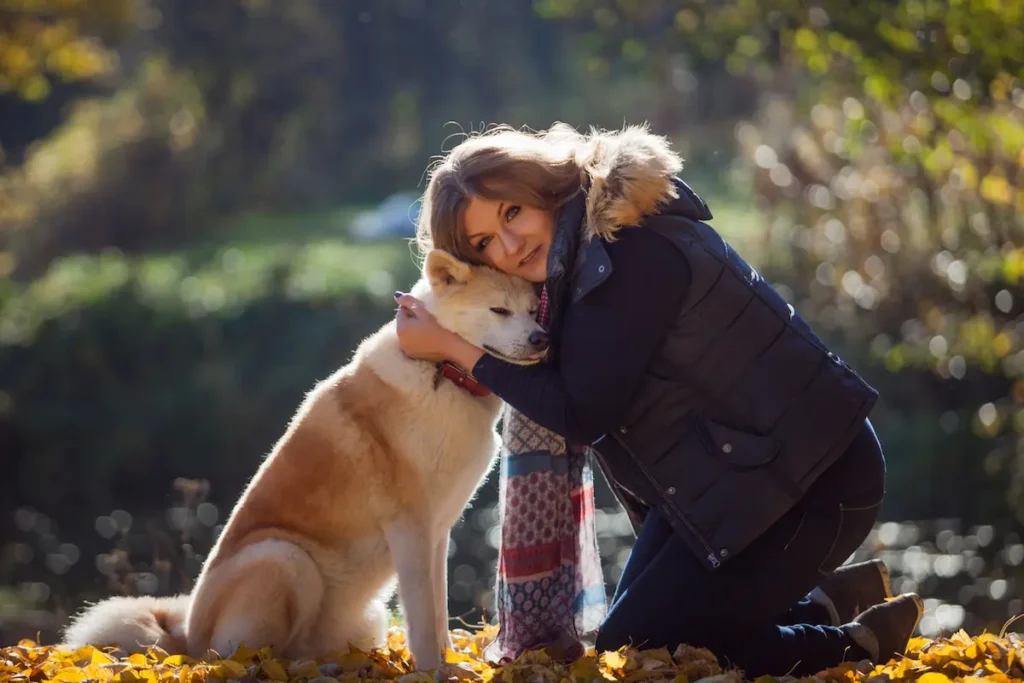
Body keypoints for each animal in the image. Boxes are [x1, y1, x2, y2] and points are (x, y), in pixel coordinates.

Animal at [60, 248, 548, 671]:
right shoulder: (410, 529)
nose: (542, 338)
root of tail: (184, 640)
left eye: (532, 309)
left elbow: (439, 611)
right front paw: (434, 672)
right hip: (284, 559)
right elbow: (424, 621)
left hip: (360, 614)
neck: (442, 374)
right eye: (499, 311)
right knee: (248, 659)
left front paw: (450, 662)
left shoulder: (437, 533)